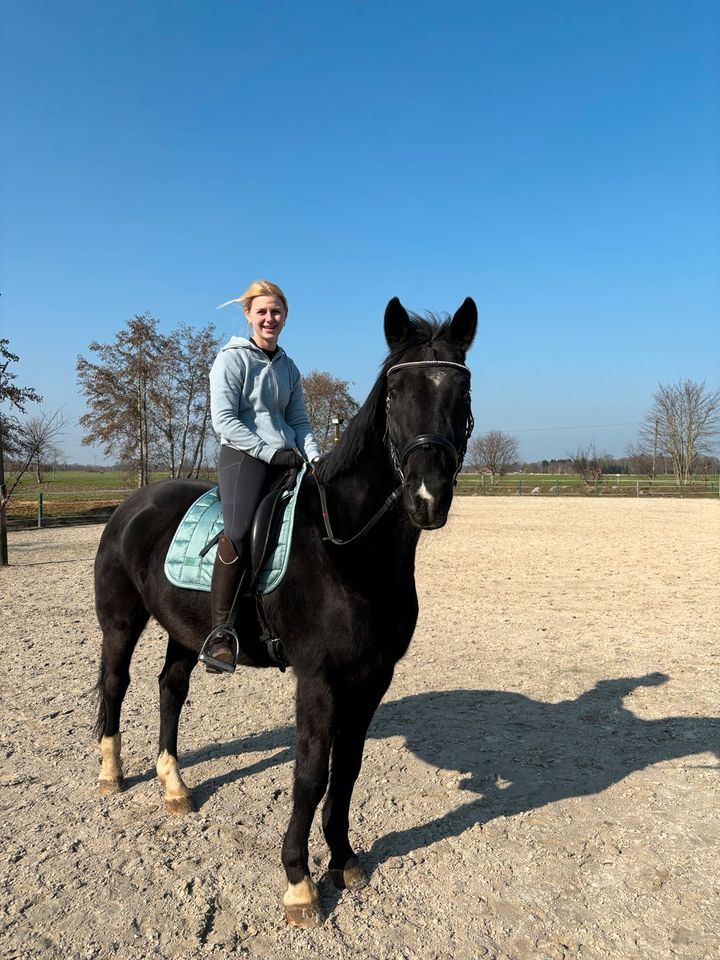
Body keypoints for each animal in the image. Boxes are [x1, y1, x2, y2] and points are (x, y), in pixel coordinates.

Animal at [94, 296, 478, 928]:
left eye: (462, 391)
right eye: (396, 393)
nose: (427, 496)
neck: (346, 548)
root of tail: (132, 504)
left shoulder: (372, 677)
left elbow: (347, 770)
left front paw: (343, 861)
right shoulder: (318, 679)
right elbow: (310, 773)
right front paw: (299, 883)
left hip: (185, 629)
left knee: (171, 687)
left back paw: (174, 786)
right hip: (121, 622)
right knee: (114, 684)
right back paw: (110, 774)